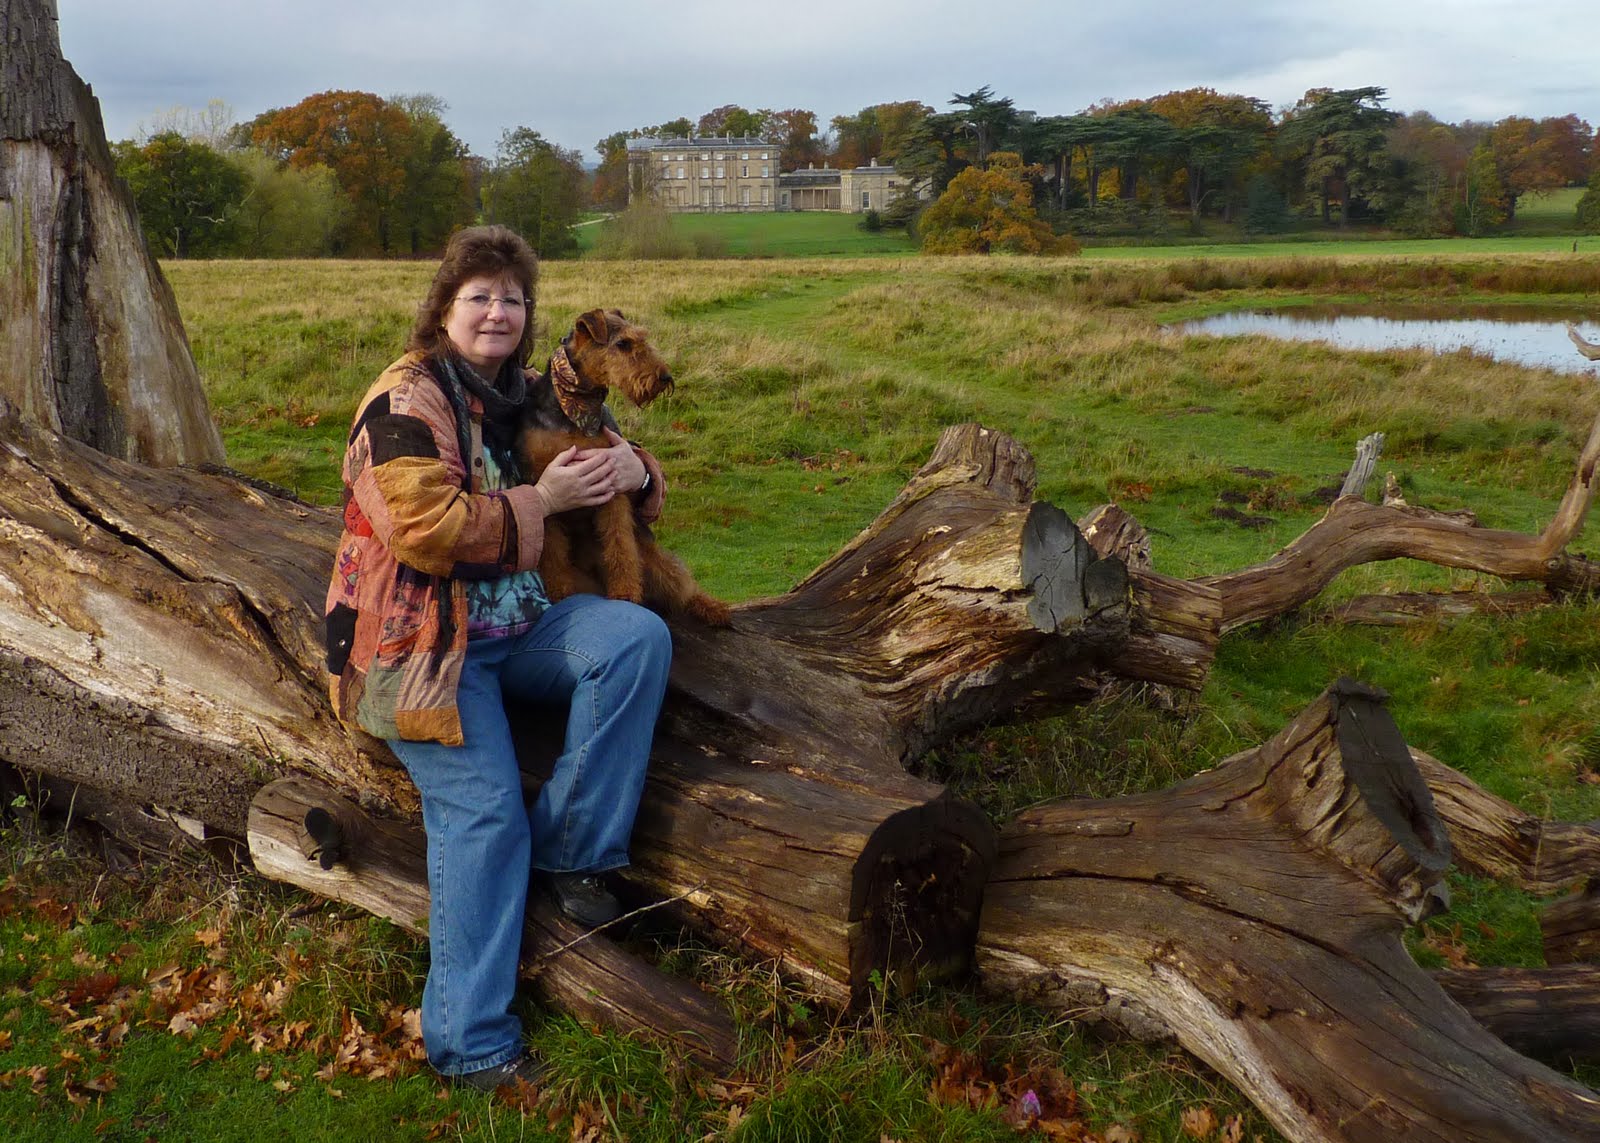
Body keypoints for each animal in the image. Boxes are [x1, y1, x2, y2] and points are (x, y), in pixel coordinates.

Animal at [518, 308, 732, 624]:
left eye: (642, 338)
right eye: (623, 344)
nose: (665, 377)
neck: (575, 410)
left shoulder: (614, 482)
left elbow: (620, 545)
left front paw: (626, 594)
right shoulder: (542, 487)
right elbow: (553, 552)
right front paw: (559, 594)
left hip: (654, 558)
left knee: (682, 585)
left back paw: (713, 608)